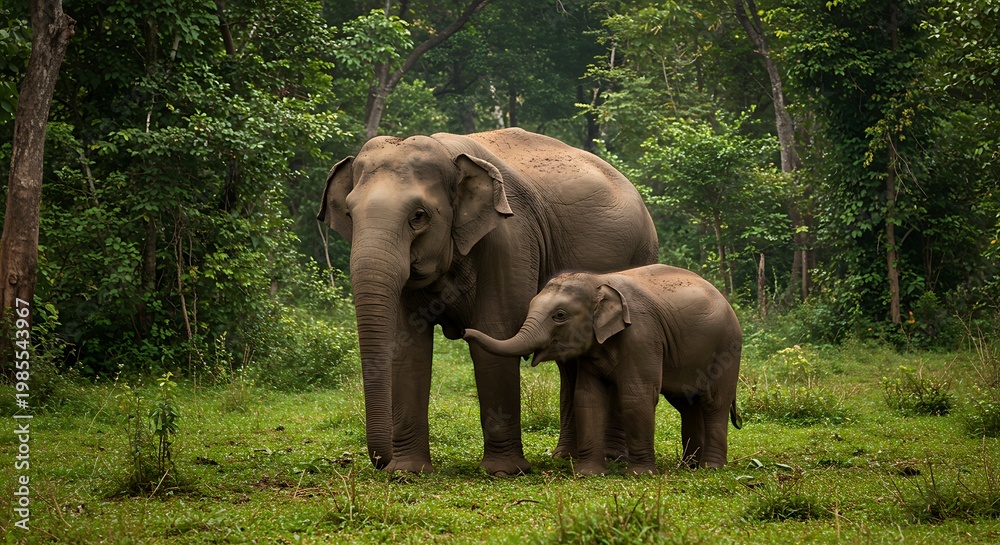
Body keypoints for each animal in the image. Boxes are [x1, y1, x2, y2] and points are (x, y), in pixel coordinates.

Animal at [317, 128, 658, 475]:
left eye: (418, 216)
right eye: (349, 214)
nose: (379, 461)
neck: (447, 154)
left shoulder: (511, 237)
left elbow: (495, 330)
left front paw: (503, 471)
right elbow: (407, 346)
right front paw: (406, 472)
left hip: (640, 252)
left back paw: (612, 457)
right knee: (569, 361)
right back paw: (565, 457)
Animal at [463, 264, 743, 475]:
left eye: (559, 315)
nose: (465, 331)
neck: (598, 280)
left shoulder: (642, 335)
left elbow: (636, 396)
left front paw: (640, 474)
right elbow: (588, 398)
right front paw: (588, 474)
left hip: (727, 348)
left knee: (714, 403)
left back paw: (711, 468)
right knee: (687, 404)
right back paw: (688, 466)